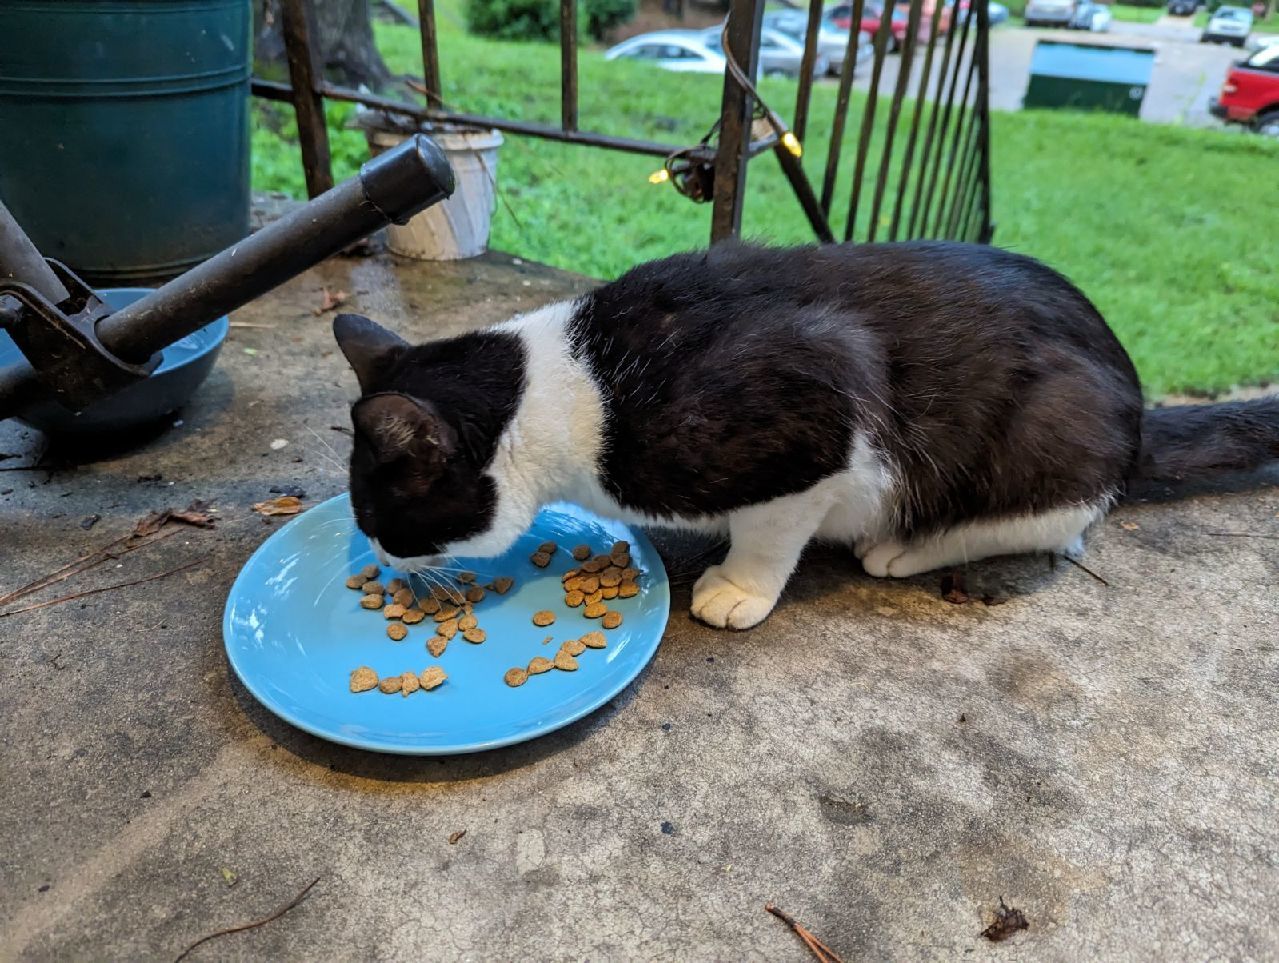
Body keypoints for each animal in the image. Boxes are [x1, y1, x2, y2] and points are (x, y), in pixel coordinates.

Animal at [332, 241, 1279, 631]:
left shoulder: (814, 414)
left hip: (1047, 428)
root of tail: (1133, 406)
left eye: (381, 518)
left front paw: (738, 585)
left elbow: (774, 525)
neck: (573, 378)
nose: (375, 556)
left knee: (1052, 522)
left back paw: (903, 547)